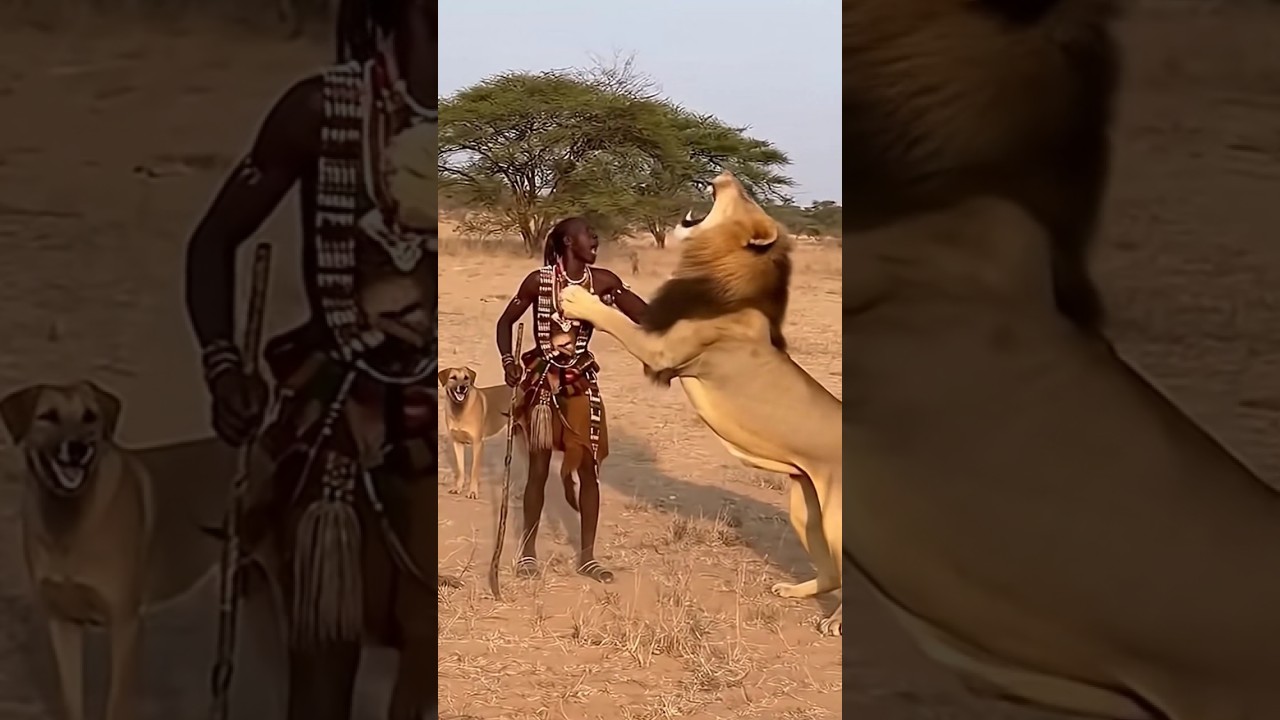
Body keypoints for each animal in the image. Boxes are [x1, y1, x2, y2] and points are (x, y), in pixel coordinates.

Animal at [559, 171, 843, 636]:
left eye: (744, 194)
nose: (724, 174)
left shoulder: (661, 350)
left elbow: (616, 319)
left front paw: (578, 299)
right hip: (807, 509)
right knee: (833, 571)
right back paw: (794, 591)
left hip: (835, 518)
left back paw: (835, 623)